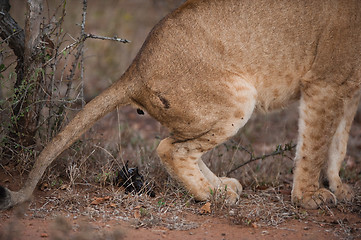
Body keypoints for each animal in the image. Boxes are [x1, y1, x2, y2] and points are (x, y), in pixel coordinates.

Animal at [0, 0, 360, 210]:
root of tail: (136, 68)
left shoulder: (349, 89)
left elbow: (339, 143)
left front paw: (340, 187)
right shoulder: (324, 82)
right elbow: (315, 145)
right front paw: (309, 197)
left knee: (181, 146)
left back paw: (220, 187)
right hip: (238, 98)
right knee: (171, 149)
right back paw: (213, 196)